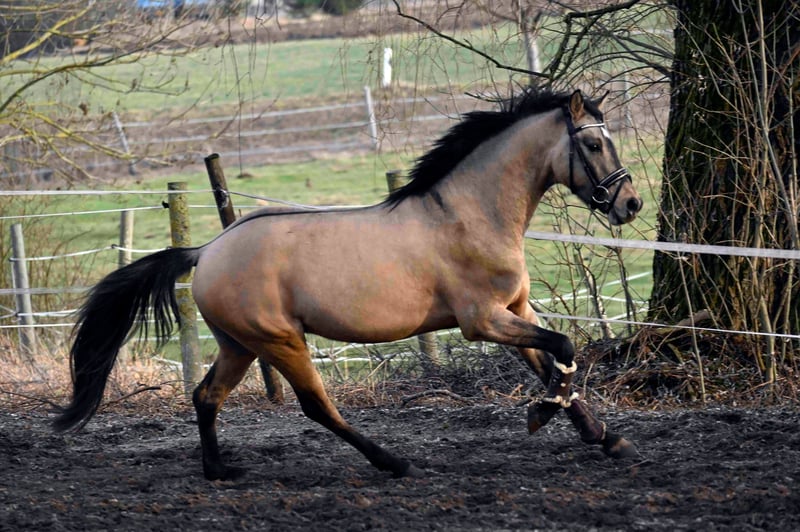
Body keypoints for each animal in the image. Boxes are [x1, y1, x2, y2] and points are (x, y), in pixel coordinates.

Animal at [54, 88, 643, 480]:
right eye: (594, 146)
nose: (631, 205)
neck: (468, 214)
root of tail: (207, 251)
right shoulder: (484, 321)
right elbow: (564, 348)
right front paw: (544, 415)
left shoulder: (516, 309)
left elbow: (557, 360)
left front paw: (606, 438)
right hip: (280, 341)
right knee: (317, 407)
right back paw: (394, 461)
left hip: (239, 344)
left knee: (207, 395)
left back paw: (219, 470)